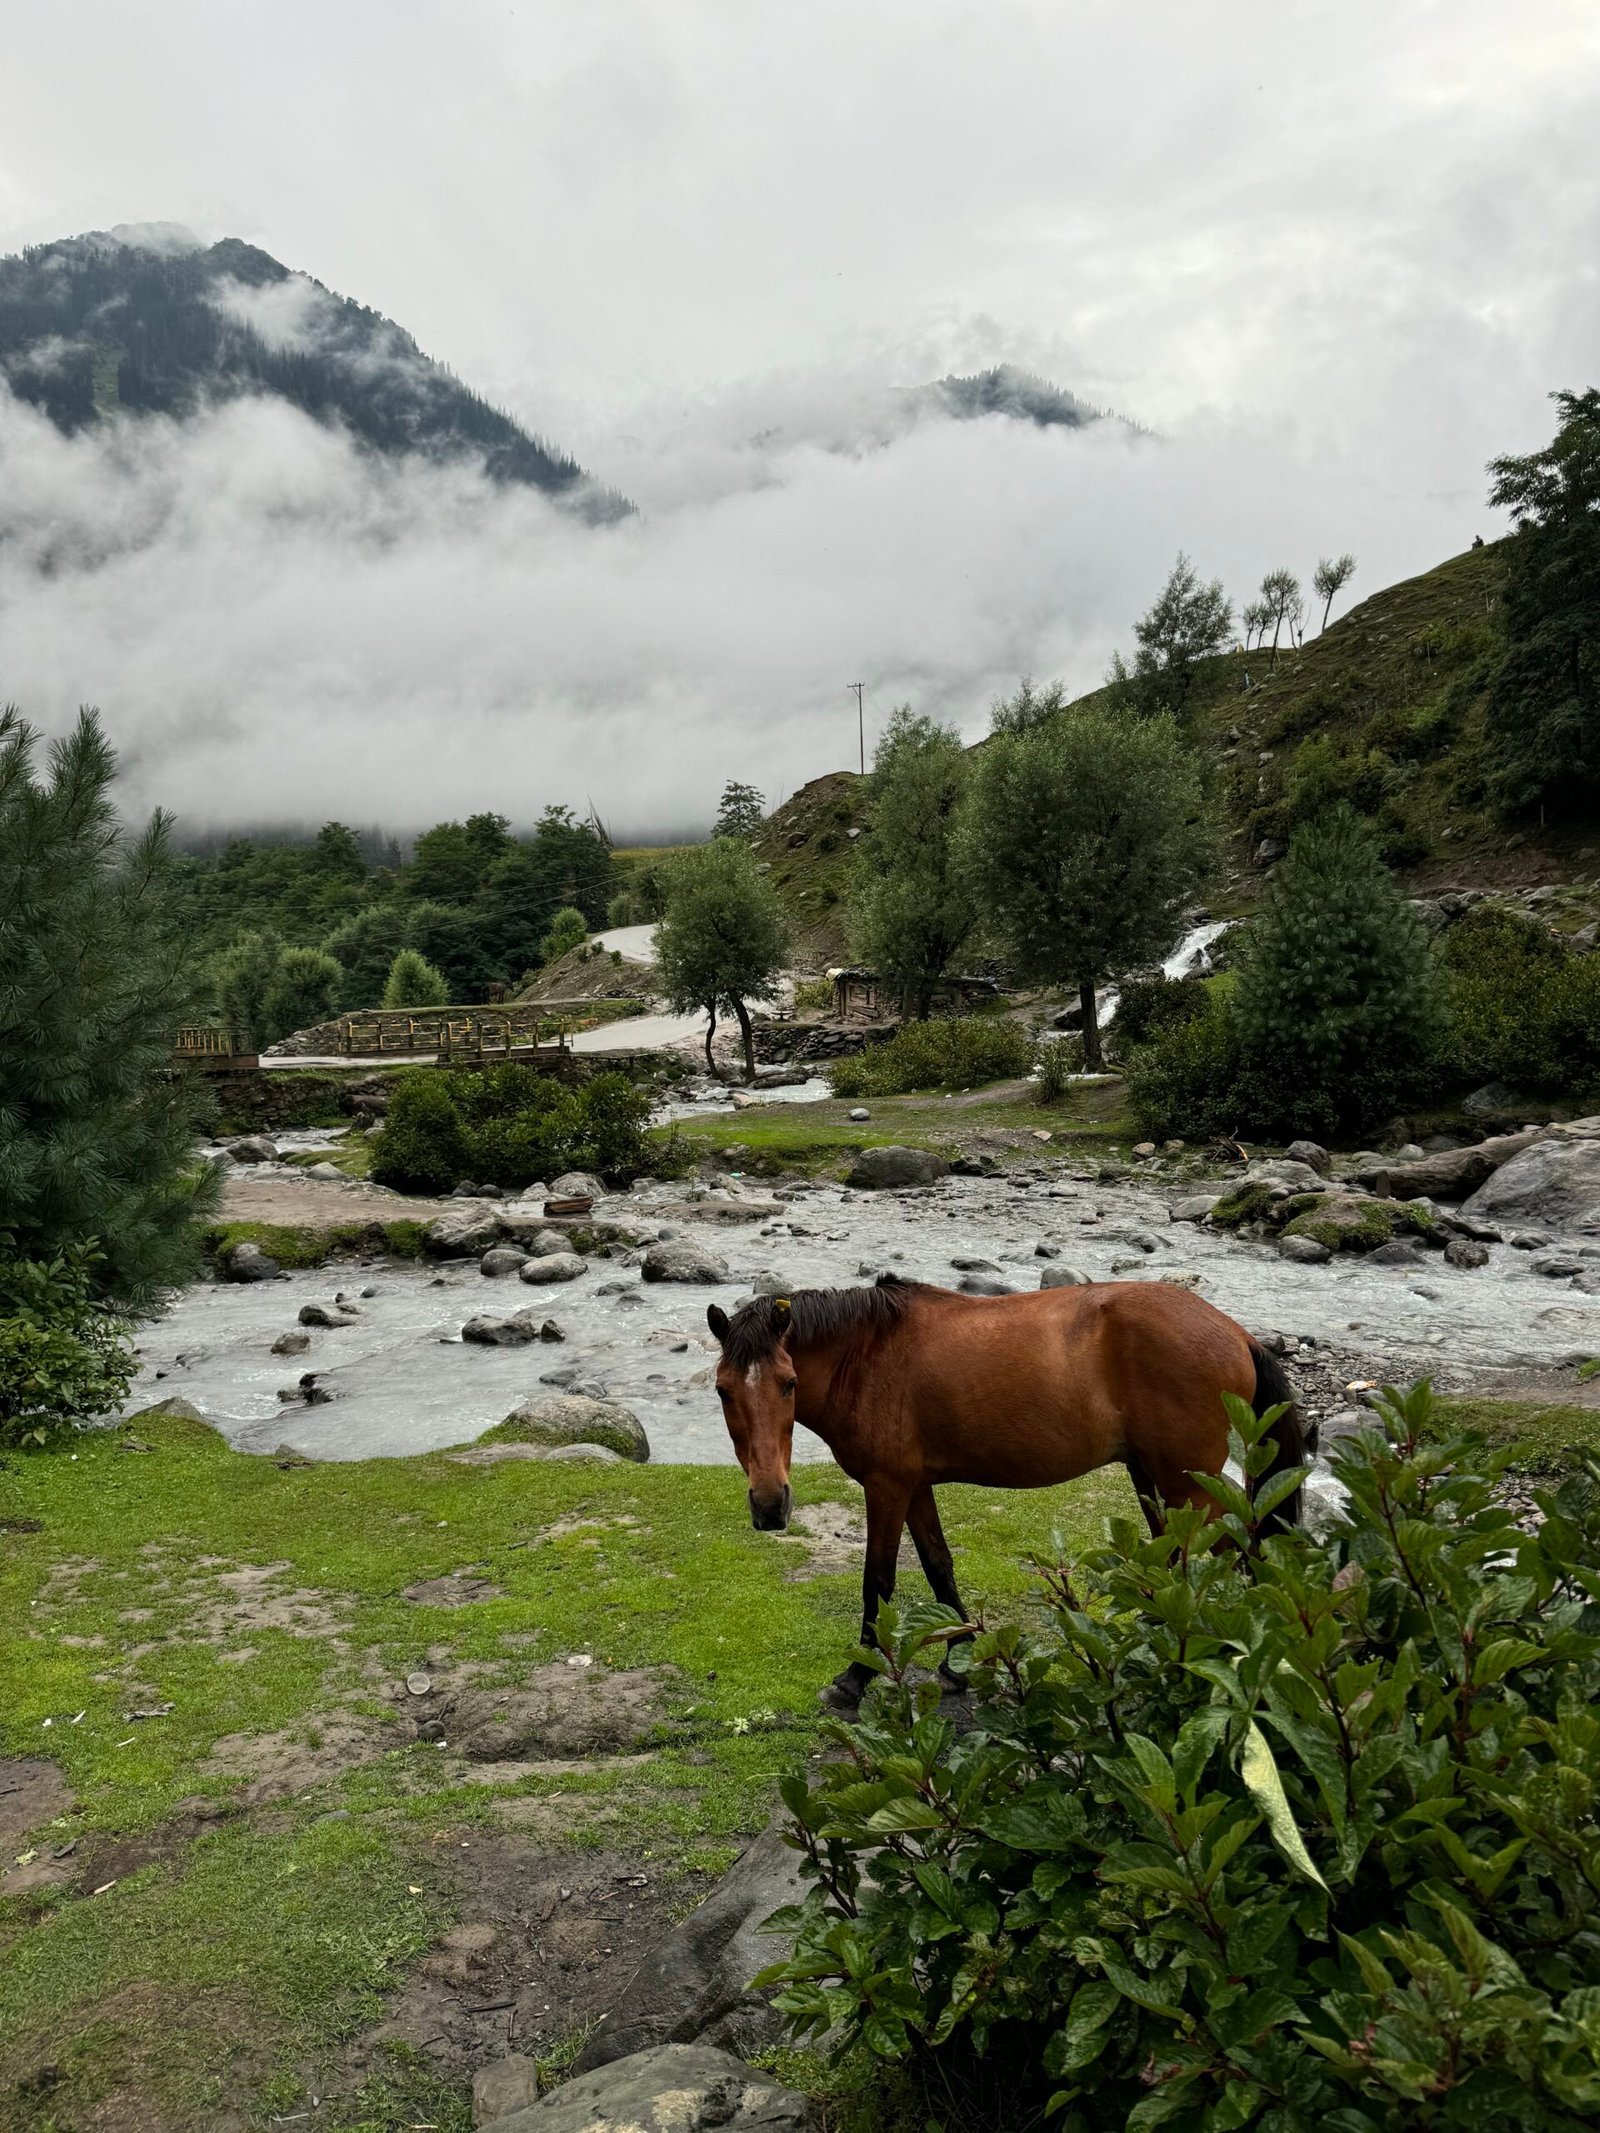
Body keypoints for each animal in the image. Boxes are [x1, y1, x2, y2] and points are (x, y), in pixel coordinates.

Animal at [706, 1274, 1304, 1706]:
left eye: (789, 1383)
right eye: (723, 1391)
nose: (770, 1505)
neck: (868, 1357)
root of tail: (1238, 1333)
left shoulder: (886, 1487)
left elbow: (878, 1580)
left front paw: (855, 1679)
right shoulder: (914, 1487)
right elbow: (938, 1568)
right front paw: (961, 1658)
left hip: (1188, 1488)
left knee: (1221, 1556)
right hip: (1154, 1480)